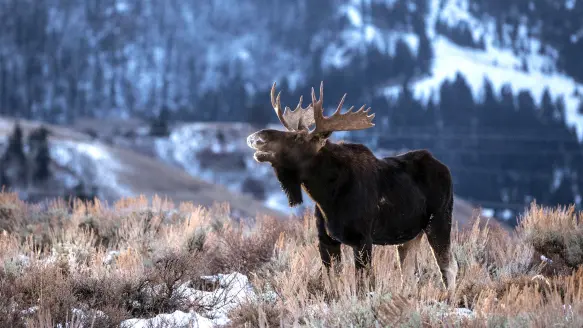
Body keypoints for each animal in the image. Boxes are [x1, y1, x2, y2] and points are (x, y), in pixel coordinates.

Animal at [246, 82, 456, 292]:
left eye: (298, 139)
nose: (256, 138)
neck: (327, 196)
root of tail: (445, 169)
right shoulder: (326, 240)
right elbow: (332, 283)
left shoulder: (363, 239)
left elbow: (364, 284)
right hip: (409, 235)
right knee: (410, 273)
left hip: (439, 220)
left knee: (448, 266)